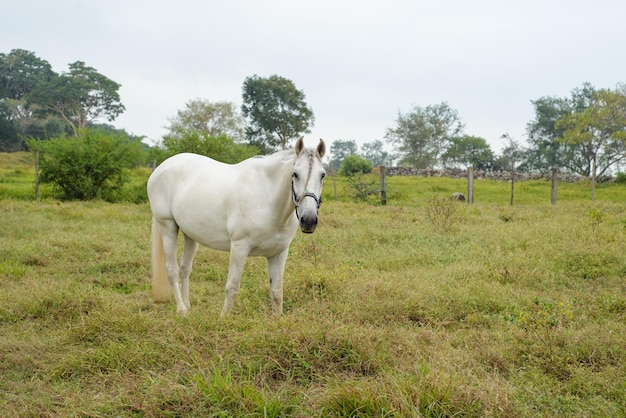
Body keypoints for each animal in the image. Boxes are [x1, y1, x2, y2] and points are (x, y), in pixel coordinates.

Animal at [147, 137, 326, 316]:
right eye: (294, 174)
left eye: (322, 175)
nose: (309, 220)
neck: (267, 199)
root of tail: (160, 169)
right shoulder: (239, 248)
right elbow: (232, 287)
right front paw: (223, 318)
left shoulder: (279, 253)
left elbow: (276, 292)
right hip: (167, 227)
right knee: (172, 271)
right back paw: (182, 310)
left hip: (190, 234)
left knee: (185, 269)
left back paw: (188, 306)